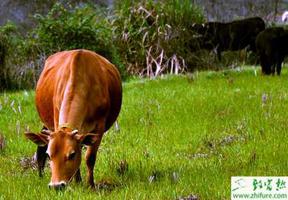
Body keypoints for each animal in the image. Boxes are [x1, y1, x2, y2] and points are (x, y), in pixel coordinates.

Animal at [25, 48, 122, 189]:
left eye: (72, 154)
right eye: (49, 155)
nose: (56, 185)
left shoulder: (99, 126)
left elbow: (89, 157)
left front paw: (90, 185)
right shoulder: (56, 121)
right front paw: (77, 182)